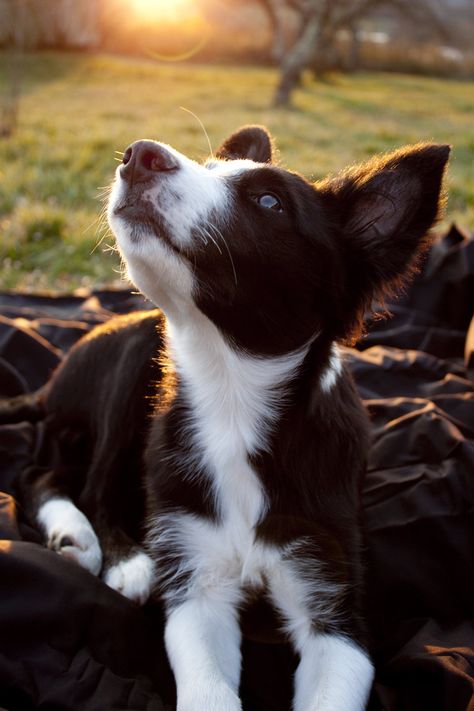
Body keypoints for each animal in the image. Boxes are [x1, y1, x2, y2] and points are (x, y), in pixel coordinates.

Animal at [23, 125, 452, 708]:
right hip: (135, 354)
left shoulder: (335, 607)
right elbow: (209, 691)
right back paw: (110, 551)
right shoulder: (196, 582)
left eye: (269, 202)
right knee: (67, 479)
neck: (231, 398)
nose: (138, 155)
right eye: (206, 167)